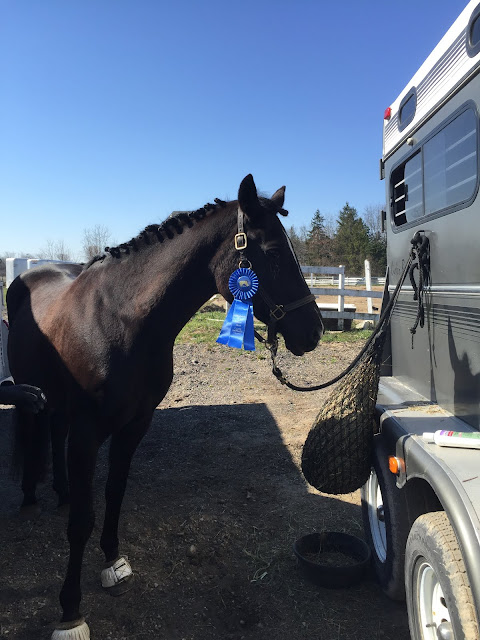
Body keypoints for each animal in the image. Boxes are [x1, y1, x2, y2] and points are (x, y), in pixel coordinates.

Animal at [7, 174, 324, 640]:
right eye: (271, 253)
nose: (314, 331)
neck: (122, 323)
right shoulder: (88, 433)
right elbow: (82, 519)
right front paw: (70, 611)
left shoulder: (134, 425)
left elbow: (115, 493)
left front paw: (113, 562)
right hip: (32, 393)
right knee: (34, 435)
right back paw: (30, 497)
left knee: (53, 433)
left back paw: (61, 492)